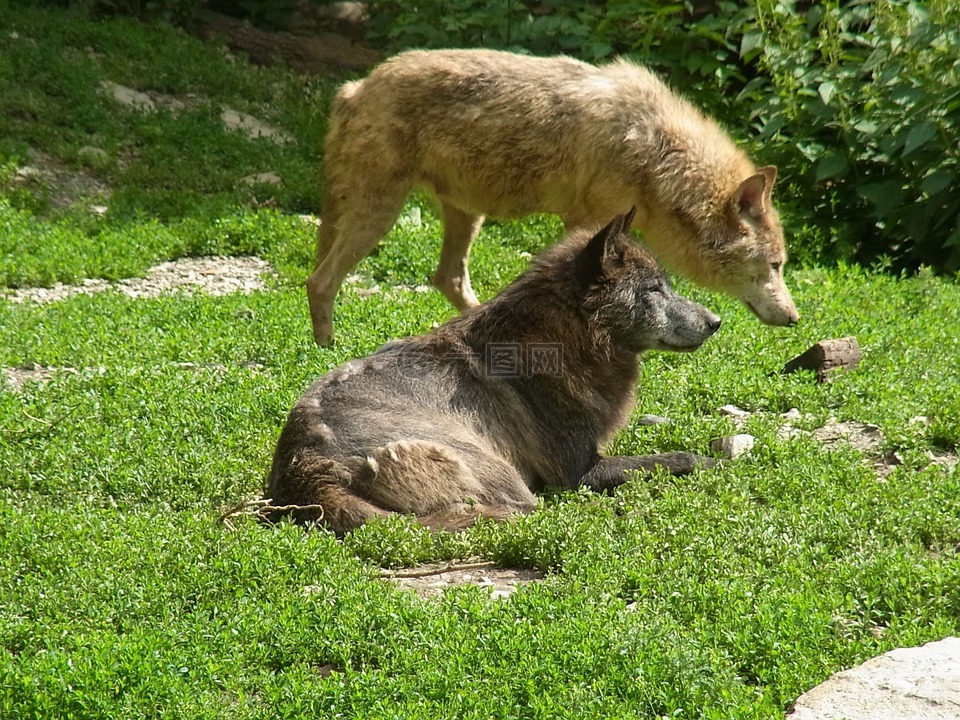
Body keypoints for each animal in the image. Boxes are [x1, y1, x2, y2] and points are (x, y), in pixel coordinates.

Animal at [270, 211, 720, 532]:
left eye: (666, 285)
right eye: (654, 289)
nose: (716, 322)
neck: (566, 336)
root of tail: (304, 464)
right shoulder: (577, 472)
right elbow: (674, 457)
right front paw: (710, 462)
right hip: (499, 471)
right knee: (527, 510)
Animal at [306, 47, 796, 346]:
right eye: (775, 266)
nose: (794, 318)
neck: (656, 155)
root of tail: (354, 87)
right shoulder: (587, 224)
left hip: (462, 214)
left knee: (447, 278)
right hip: (382, 214)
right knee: (320, 281)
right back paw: (327, 350)